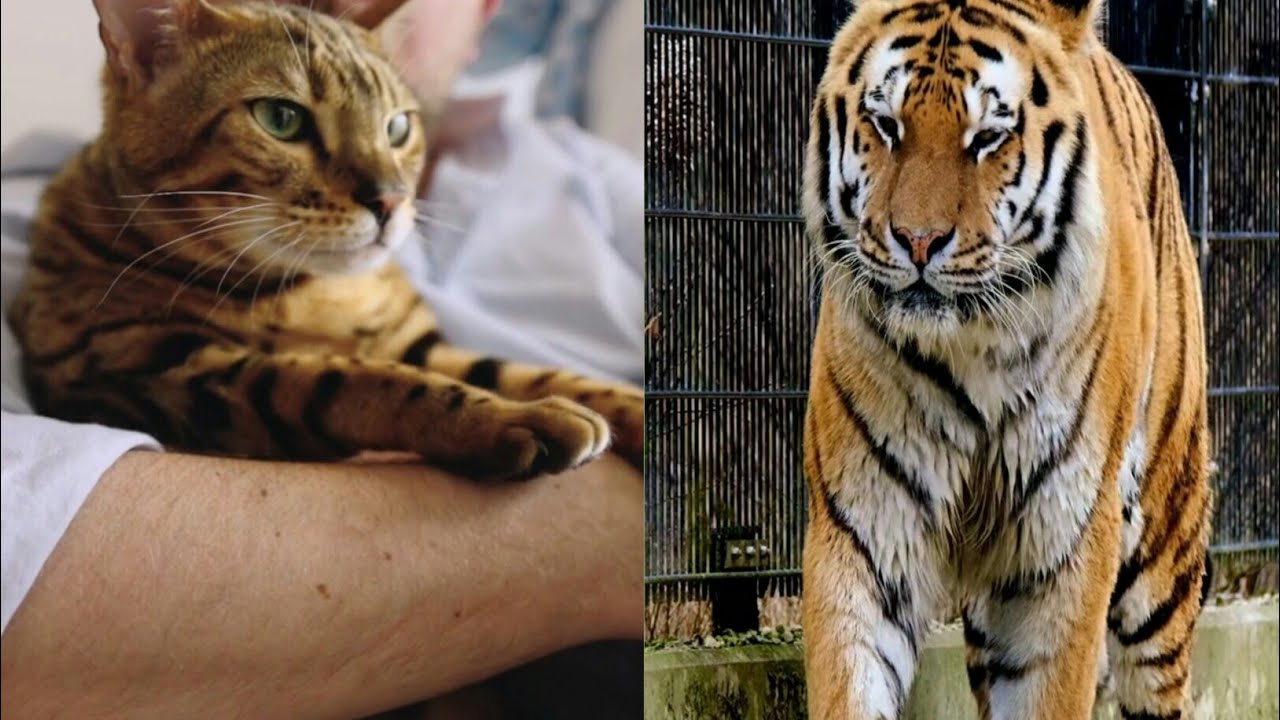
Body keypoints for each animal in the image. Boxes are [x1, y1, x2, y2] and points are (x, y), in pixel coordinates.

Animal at [6, 0, 643, 480]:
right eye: (280, 118)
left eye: (398, 127)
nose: (391, 200)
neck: (319, 293)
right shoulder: (161, 370)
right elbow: (362, 380)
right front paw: (513, 420)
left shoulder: (417, 342)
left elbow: (525, 370)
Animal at [799, 0, 1211, 718]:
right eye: (887, 125)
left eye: (987, 138)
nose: (918, 241)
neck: (971, 351)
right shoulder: (863, 532)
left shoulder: (1062, 547)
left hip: (1162, 545)